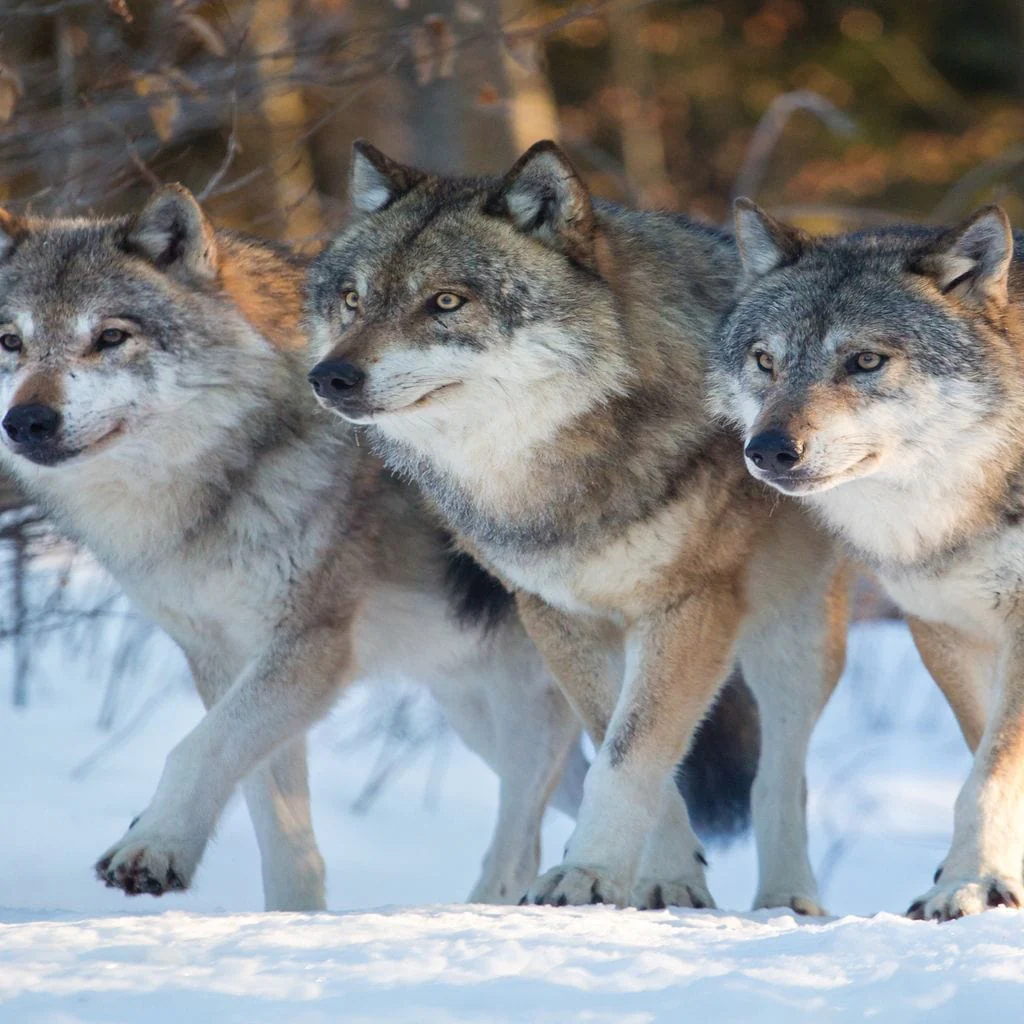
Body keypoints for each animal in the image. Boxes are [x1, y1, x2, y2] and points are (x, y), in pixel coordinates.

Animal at [0, 186, 595, 910]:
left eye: (110, 337)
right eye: (10, 341)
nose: (25, 421)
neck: (224, 481)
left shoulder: (311, 648)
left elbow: (195, 750)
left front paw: (153, 846)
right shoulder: (225, 660)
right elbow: (278, 827)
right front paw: (293, 921)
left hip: (532, 702)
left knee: (524, 844)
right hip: (480, 711)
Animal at [305, 140, 849, 913]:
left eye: (446, 301)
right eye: (352, 299)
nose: (329, 377)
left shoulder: (690, 607)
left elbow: (631, 752)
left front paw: (586, 873)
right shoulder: (555, 613)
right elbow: (623, 744)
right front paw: (664, 879)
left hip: (790, 635)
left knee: (783, 771)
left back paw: (786, 900)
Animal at [712, 198, 1024, 920]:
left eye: (864, 361)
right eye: (765, 360)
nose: (767, 450)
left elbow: (987, 773)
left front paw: (966, 883)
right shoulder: (944, 628)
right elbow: (982, 758)